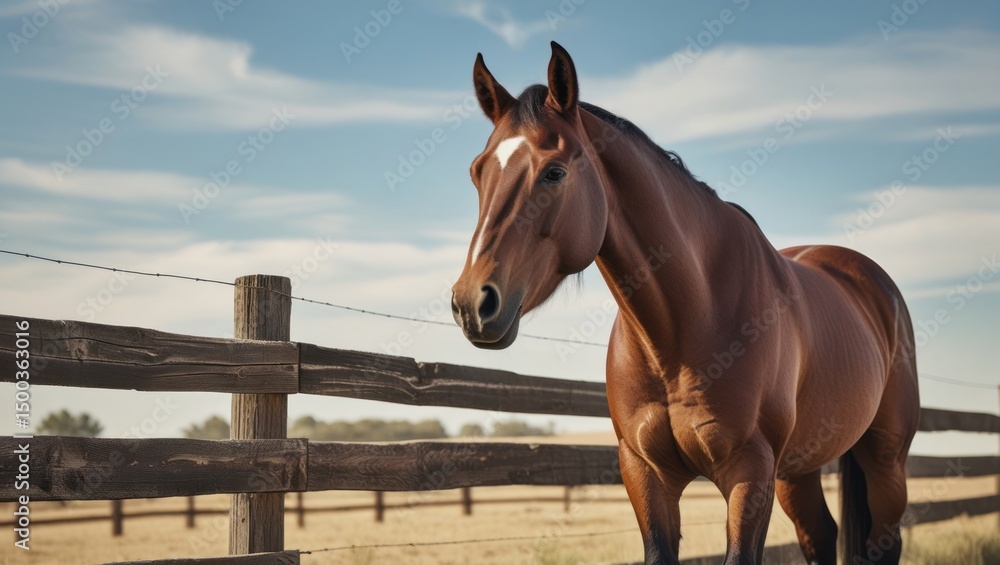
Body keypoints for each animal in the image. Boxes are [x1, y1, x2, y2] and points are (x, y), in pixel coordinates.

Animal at [450, 42, 920, 564]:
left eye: (554, 172)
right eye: (476, 172)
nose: (473, 303)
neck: (688, 324)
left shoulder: (749, 473)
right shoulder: (646, 474)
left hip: (884, 458)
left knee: (884, 538)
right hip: (799, 467)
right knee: (820, 534)